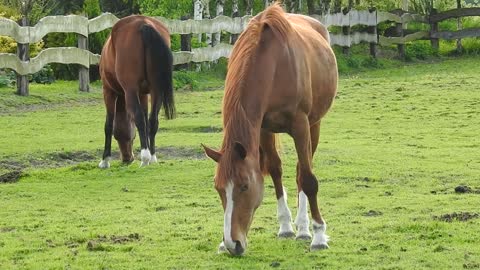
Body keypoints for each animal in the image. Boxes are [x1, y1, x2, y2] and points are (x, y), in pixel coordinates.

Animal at [98, 15, 175, 169]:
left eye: (127, 137)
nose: (127, 158)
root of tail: (143, 23)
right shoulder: (143, 94)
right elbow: (146, 120)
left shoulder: (108, 91)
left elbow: (109, 124)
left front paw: (105, 160)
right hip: (156, 91)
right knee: (152, 120)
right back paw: (152, 156)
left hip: (130, 91)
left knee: (138, 117)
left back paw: (144, 158)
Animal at [202, 4, 338, 258]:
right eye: (218, 188)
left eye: (244, 186)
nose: (232, 244)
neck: (274, 65)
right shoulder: (262, 127)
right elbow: (275, 170)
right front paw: (285, 226)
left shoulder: (300, 125)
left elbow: (308, 179)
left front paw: (319, 236)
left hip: (313, 125)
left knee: (302, 171)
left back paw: (305, 229)